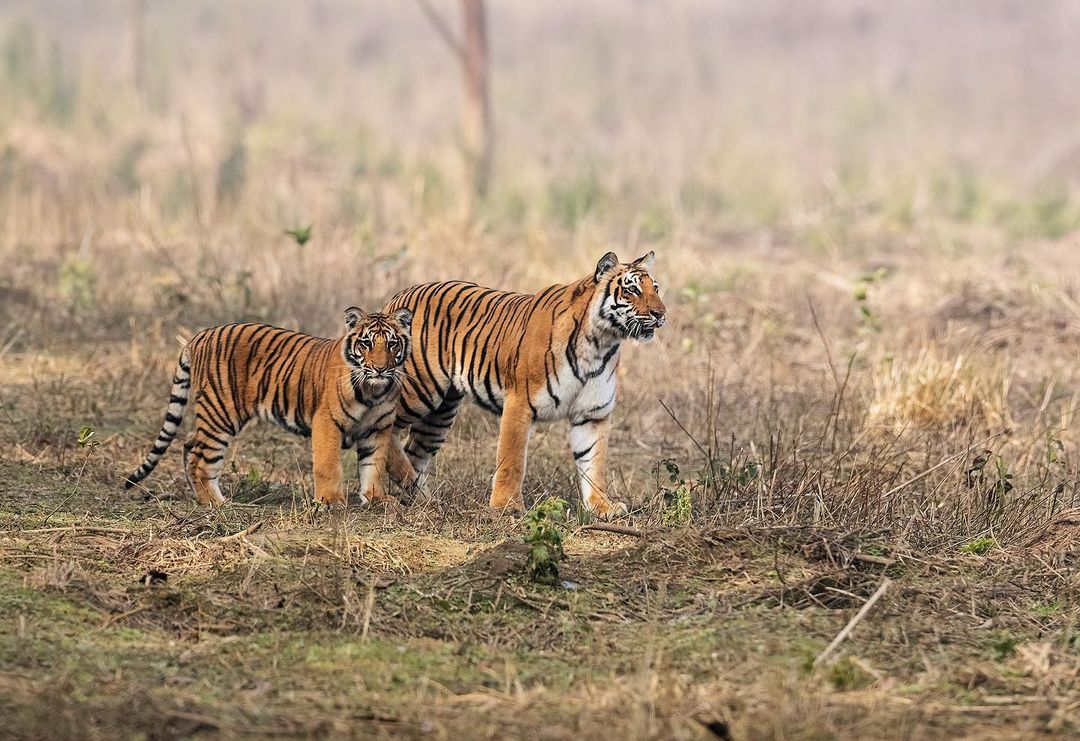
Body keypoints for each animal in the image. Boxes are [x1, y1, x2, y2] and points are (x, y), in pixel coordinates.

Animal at [125, 308, 412, 509]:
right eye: (366, 343)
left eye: (392, 344)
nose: (380, 369)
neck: (374, 391)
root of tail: (200, 335)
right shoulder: (326, 421)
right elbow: (329, 465)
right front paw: (330, 502)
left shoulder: (378, 428)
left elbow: (373, 465)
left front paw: (376, 499)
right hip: (221, 413)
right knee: (200, 457)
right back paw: (216, 503)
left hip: (214, 416)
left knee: (189, 444)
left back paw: (201, 497)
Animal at [384, 252, 660, 520]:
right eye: (632, 289)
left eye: (656, 288)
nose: (660, 314)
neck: (600, 342)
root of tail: (397, 297)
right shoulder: (520, 403)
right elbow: (512, 459)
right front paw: (507, 506)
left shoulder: (592, 413)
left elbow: (594, 461)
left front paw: (602, 507)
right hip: (418, 390)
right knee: (384, 427)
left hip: (442, 410)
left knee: (414, 450)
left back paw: (419, 498)